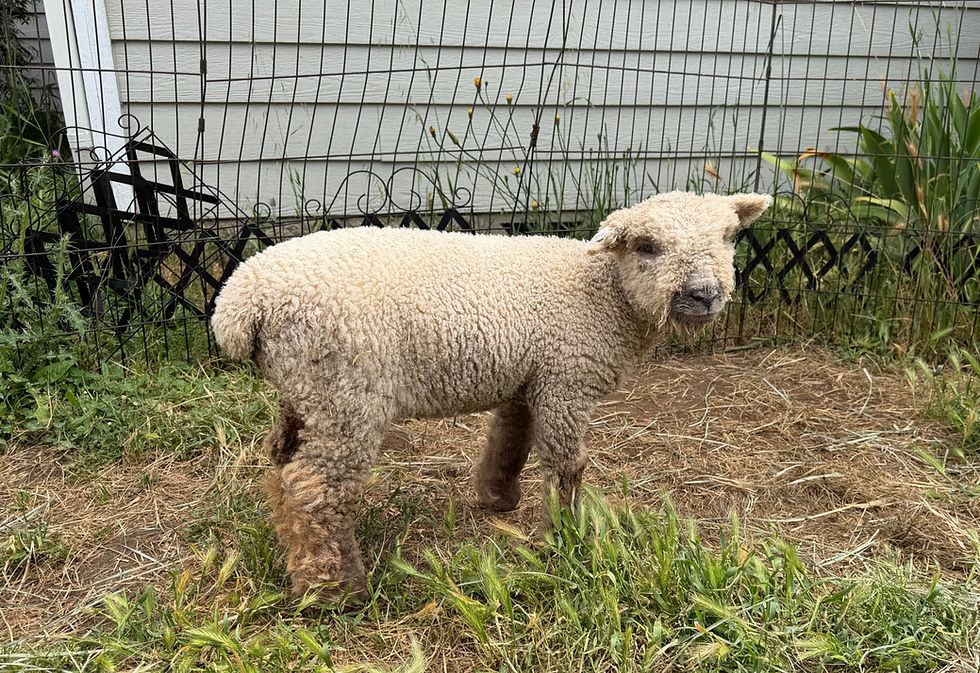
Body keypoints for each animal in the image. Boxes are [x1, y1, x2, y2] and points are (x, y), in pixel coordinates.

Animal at [211, 190, 771, 600]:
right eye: (647, 246)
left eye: (728, 237)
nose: (704, 296)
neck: (603, 291)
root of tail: (239, 304)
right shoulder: (566, 381)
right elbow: (567, 466)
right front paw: (564, 540)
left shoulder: (529, 379)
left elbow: (510, 439)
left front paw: (499, 498)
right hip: (347, 394)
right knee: (314, 489)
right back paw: (335, 590)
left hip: (307, 392)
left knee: (282, 464)